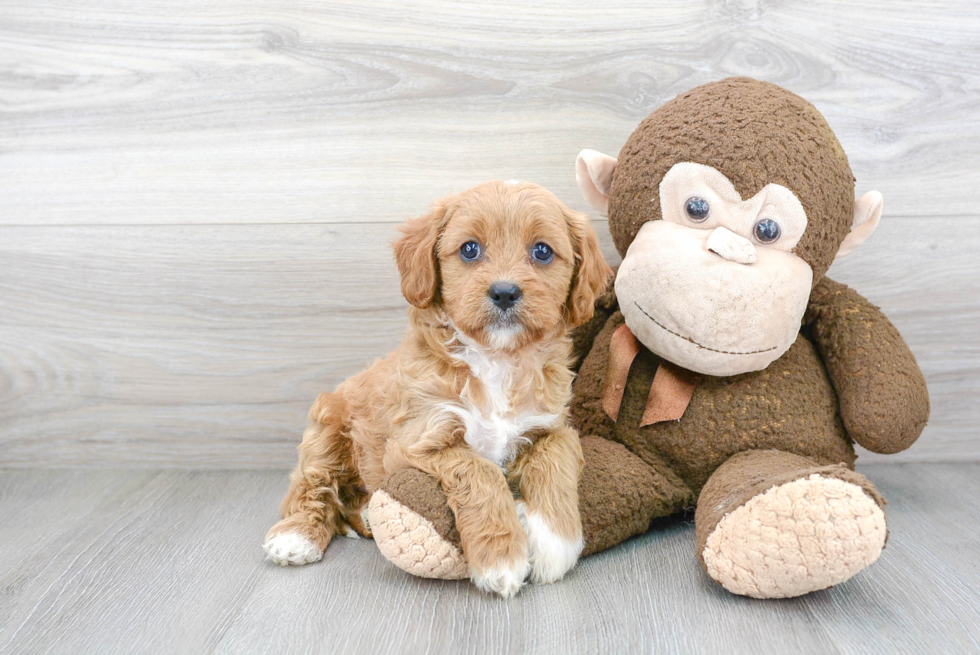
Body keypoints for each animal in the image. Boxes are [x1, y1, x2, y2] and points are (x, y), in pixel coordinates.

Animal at [260, 181, 612, 600]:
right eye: (470, 249)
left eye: (542, 251)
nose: (504, 292)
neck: (496, 360)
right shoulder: (419, 437)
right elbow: (480, 470)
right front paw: (501, 558)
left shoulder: (553, 426)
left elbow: (554, 462)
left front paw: (553, 542)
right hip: (326, 429)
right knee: (310, 486)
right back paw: (297, 536)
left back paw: (365, 513)